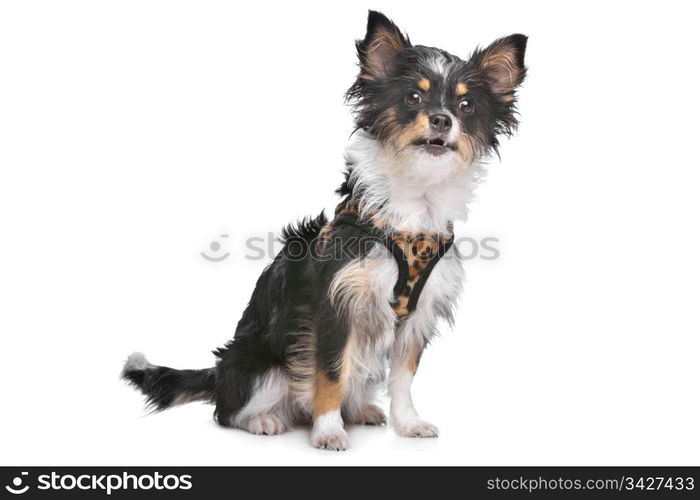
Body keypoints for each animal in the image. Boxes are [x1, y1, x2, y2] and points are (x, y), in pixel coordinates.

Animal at [123, 10, 524, 450]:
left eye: (466, 105)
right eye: (412, 98)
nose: (441, 118)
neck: (413, 205)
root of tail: (219, 374)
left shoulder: (416, 318)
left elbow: (403, 377)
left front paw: (408, 423)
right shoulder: (334, 310)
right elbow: (330, 372)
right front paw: (328, 430)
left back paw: (360, 410)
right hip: (260, 368)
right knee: (228, 411)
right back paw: (264, 420)